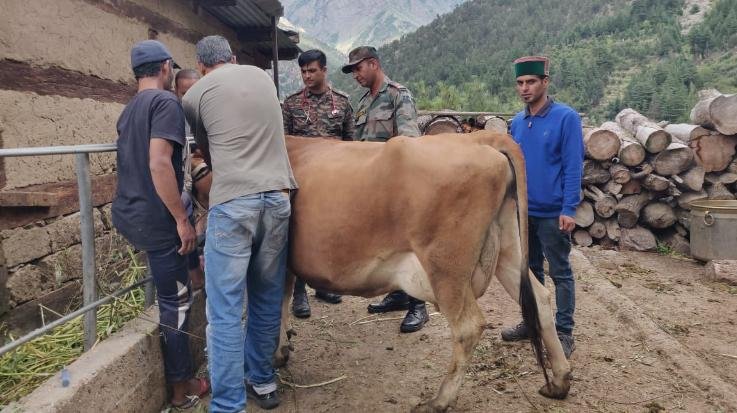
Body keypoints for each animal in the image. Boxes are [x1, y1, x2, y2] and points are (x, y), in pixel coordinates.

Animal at [278, 131, 572, 412]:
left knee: (468, 326)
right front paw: (283, 347)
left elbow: (277, 305)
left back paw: (439, 400)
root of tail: (479, 137)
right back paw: (559, 381)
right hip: (508, 249)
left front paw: (278, 353)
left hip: (446, 268)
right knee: (541, 299)